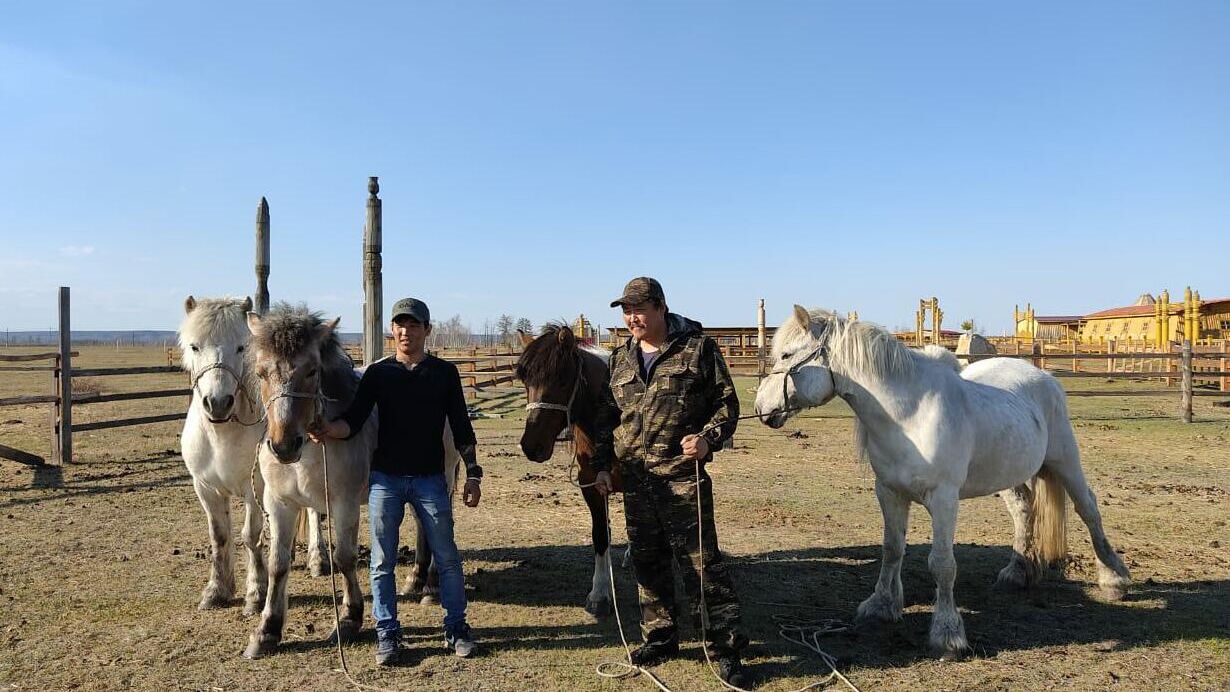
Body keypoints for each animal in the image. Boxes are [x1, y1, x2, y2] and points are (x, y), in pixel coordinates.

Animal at [179, 294, 270, 614]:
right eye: (194, 346)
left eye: (241, 347)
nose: (217, 403)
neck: (221, 437)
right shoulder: (205, 488)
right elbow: (219, 536)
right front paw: (216, 591)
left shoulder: (255, 489)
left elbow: (250, 536)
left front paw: (256, 594)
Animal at [239, 306, 373, 658]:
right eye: (261, 373)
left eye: (312, 371)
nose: (284, 446)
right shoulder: (280, 505)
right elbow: (277, 563)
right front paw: (267, 631)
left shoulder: (345, 504)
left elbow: (345, 558)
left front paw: (350, 618)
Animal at [514, 326, 619, 617]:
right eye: (525, 382)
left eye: (562, 381)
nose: (532, 446)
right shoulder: (592, 486)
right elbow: (601, 534)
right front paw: (600, 593)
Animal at [752, 308, 1136, 658]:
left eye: (786, 355)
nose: (760, 408)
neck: (908, 415)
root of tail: (1043, 376)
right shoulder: (889, 492)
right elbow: (892, 549)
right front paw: (880, 606)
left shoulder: (944, 499)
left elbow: (942, 564)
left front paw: (947, 633)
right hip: (1008, 473)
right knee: (1024, 510)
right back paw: (1016, 572)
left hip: (1065, 459)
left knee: (1088, 509)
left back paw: (1113, 579)